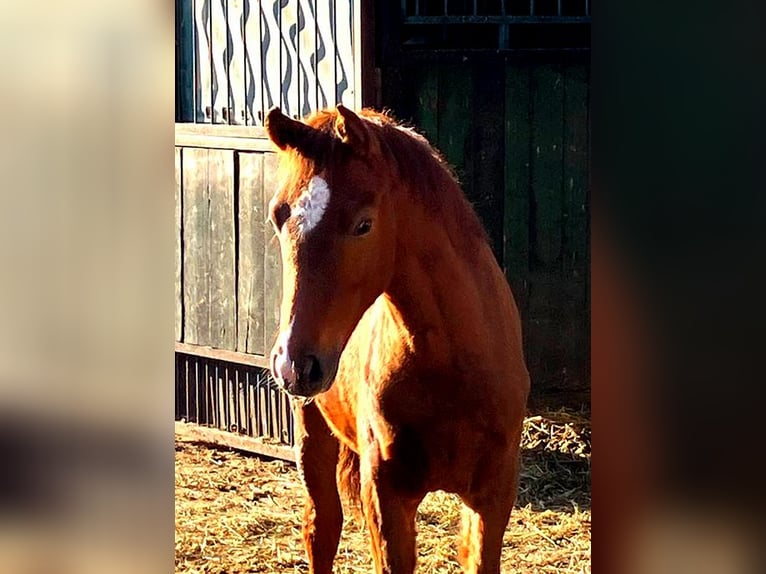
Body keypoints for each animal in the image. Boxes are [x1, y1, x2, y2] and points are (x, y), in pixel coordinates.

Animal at [264, 104, 530, 573]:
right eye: (279, 215)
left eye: (363, 224)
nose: (294, 365)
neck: (452, 366)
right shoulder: (386, 499)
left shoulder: (491, 498)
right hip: (311, 433)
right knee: (322, 527)